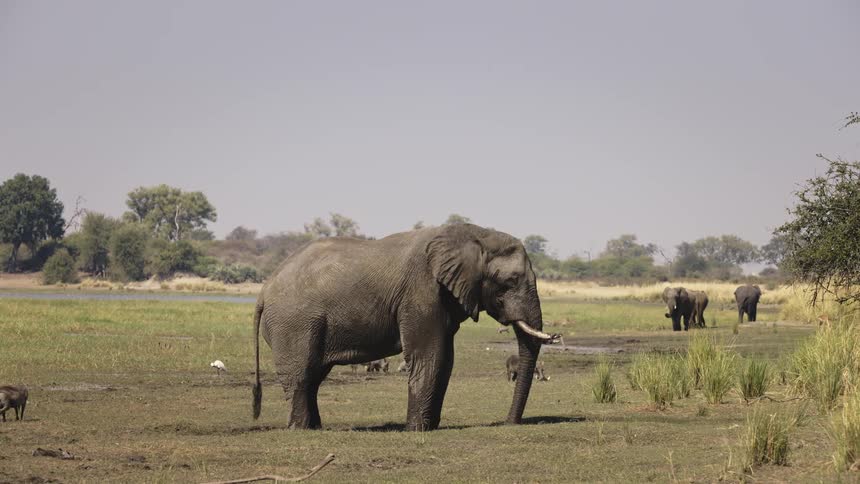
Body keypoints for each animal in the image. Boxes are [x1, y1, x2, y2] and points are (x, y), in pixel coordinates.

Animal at [252, 223, 560, 431]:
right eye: (510, 282)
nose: (509, 423)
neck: (475, 234)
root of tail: (264, 290)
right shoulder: (421, 292)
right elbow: (429, 356)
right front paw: (416, 431)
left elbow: (445, 359)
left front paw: (430, 427)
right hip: (294, 323)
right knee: (301, 374)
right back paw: (301, 429)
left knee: (314, 376)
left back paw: (315, 427)